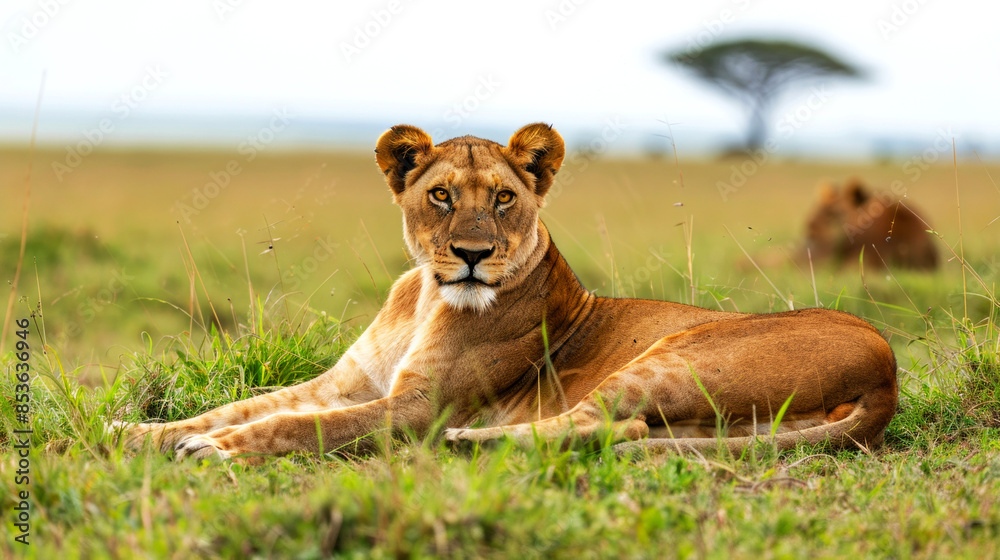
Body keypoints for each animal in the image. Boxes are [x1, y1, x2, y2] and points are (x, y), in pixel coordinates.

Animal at [126, 124, 898, 462]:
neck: (426, 297)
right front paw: (140, 432)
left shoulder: (414, 407)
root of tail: (888, 371)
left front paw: (217, 450)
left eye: (503, 199)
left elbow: (297, 425)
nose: (472, 256)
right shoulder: (347, 383)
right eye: (440, 195)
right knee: (623, 430)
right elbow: (248, 404)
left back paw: (472, 440)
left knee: (594, 422)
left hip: (674, 355)